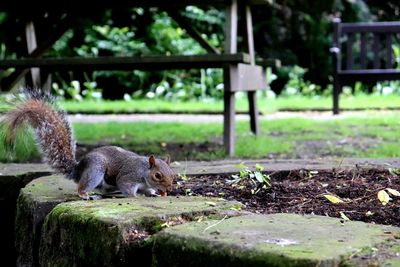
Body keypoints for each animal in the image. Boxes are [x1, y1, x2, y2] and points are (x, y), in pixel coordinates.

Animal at [1, 89, 175, 200]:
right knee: (83, 187)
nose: (169, 189)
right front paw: (134, 196)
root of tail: (78, 170)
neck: (145, 172)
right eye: (157, 175)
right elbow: (126, 185)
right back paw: (86, 195)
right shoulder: (130, 176)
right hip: (95, 170)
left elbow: (149, 191)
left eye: (173, 174)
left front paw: (155, 194)